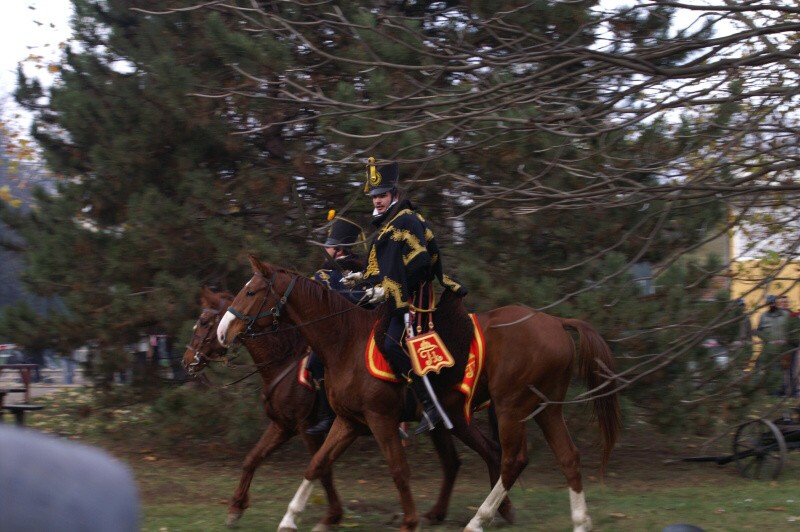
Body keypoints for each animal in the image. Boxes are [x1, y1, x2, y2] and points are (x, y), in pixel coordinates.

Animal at [181, 288, 344, 528]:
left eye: (203, 322)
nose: (186, 361)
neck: (284, 360)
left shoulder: (308, 428)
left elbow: (322, 470)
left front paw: (332, 515)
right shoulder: (282, 426)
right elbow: (252, 459)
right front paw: (236, 507)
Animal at [220, 258, 624, 532]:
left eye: (252, 291)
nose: (224, 331)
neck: (344, 340)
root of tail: (555, 322)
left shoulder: (380, 420)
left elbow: (399, 471)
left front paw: (410, 520)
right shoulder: (348, 422)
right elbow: (317, 464)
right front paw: (289, 518)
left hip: (512, 407)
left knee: (511, 459)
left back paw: (479, 519)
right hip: (541, 409)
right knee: (566, 457)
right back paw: (579, 520)